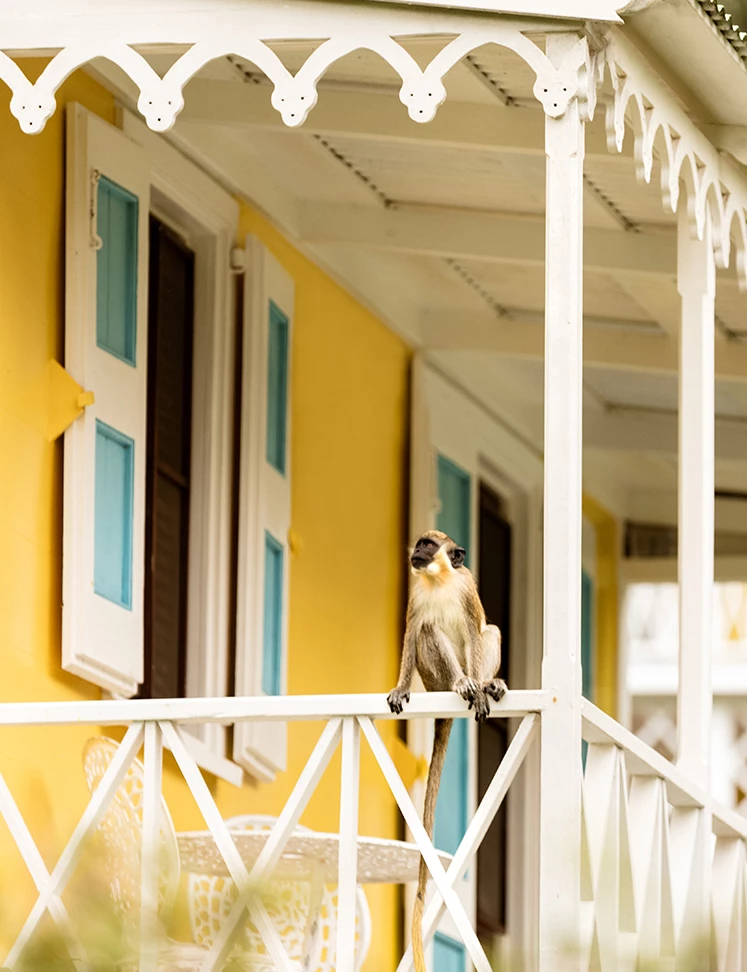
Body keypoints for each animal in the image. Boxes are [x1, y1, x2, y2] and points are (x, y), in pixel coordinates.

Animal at [387, 529, 506, 972]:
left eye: (428, 545)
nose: (416, 553)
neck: (438, 580)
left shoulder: (466, 587)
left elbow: (475, 632)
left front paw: (480, 686)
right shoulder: (417, 594)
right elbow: (411, 633)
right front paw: (400, 687)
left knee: (489, 633)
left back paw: (483, 685)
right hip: (431, 677)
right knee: (427, 631)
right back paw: (459, 684)